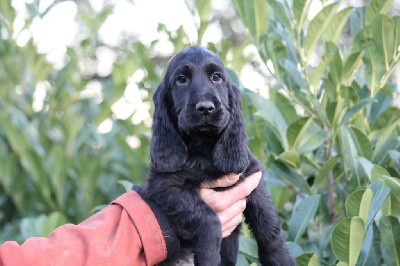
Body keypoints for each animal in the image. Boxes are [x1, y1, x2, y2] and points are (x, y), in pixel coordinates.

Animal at [144, 46, 294, 264]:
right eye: (181, 79)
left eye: (217, 77)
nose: (206, 107)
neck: (204, 147)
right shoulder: (166, 187)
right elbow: (209, 219)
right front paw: (209, 257)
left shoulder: (252, 177)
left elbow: (268, 223)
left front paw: (281, 258)